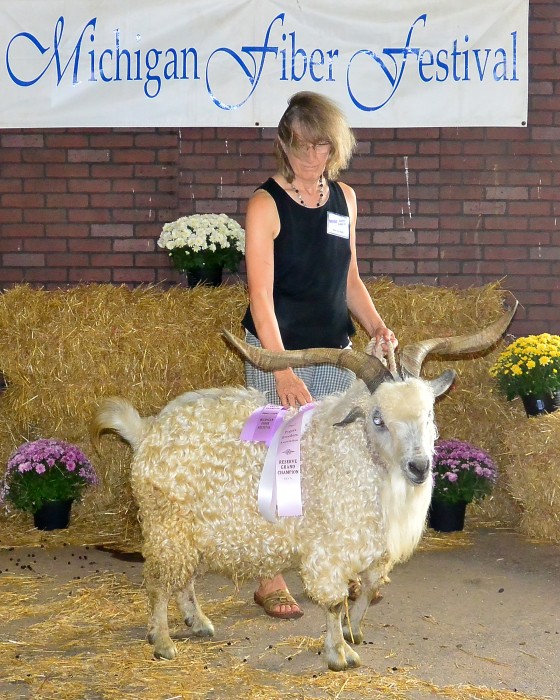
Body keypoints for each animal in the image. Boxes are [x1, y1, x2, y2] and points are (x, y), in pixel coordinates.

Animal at [92, 300, 516, 672]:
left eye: (429, 413)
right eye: (378, 418)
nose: (419, 467)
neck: (355, 455)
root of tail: (146, 431)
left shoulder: (371, 548)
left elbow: (365, 592)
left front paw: (353, 632)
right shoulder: (329, 548)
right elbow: (333, 602)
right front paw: (339, 654)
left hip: (192, 528)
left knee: (184, 580)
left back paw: (198, 624)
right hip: (167, 523)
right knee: (158, 582)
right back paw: (162, 641)